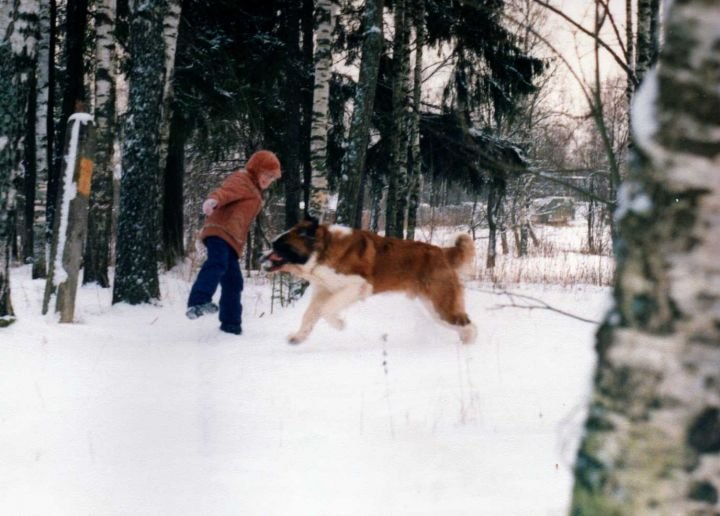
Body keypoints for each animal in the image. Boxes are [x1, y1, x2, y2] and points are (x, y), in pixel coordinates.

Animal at [262, 216, 476, 344]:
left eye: (279, 247)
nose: (262, 256)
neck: (323, 250)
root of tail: (442, 251)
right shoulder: (324, 290)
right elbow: (310, 313)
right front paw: (298, 337)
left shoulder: (357, 285)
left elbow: (325, 309)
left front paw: (340, 323)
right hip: (434, 307)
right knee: (462, 324)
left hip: (441, 305)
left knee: (468, 324)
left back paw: (469, 347)